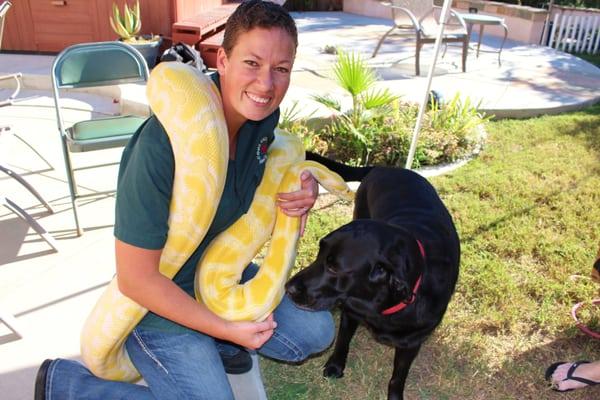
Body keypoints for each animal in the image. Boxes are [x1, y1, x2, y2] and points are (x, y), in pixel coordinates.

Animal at [286, 154, 460, 400]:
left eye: (334, 268)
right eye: (320, 254)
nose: (288, 287)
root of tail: (384, 167)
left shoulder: (411, 343)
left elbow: (398, 376)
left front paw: (395, 396)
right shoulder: (350, 312)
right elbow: (342, 340)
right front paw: (335, 366)